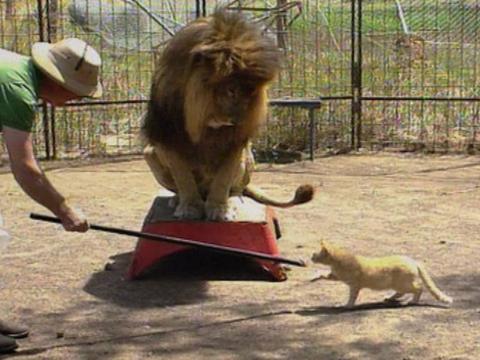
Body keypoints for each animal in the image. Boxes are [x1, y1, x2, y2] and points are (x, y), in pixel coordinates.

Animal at [142, 8, 316, 221]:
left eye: (251, 93)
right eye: (231, 90)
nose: (239, 121)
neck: (201, 118)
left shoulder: (235, 140)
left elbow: (223, 179)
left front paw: (219, 209)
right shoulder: (168, 133)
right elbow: (183, 177)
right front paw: (189, 206)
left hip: (246, 159)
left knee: (238, 189)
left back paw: (232, 200)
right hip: (149, 153)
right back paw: (178, 199)